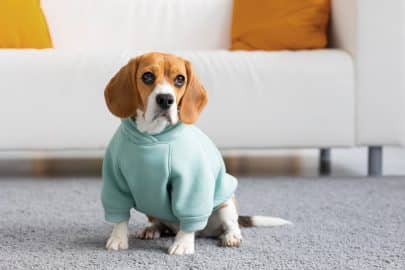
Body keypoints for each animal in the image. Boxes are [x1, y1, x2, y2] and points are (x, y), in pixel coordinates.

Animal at [102, 51, 288, 255]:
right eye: (147, 76)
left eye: (180, 79)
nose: (166, 99)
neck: (153, 136)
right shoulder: (115, 180)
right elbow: (120, 216)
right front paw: (118, 238)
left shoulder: (192, 183)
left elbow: (188, 214)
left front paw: (183, 243)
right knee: (160, 224)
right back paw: (152, 229)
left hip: (226, 202)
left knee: (231, 224)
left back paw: (231, 236)